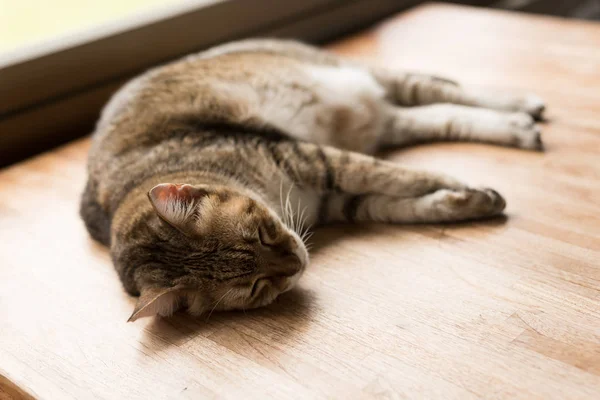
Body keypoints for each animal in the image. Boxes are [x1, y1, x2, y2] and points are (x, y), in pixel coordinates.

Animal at [82, 38, 548, 322]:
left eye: (262, 233)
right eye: (256, 287)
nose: (299, 262)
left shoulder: (310, 158)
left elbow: (398, 174)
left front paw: (452, 180)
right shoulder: (338, 199)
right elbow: (402, 203)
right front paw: (464, 199)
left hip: (366, 74)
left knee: (444, 88)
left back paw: (522, 106)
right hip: (390, 118)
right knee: (439, 115)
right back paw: (516, 127)